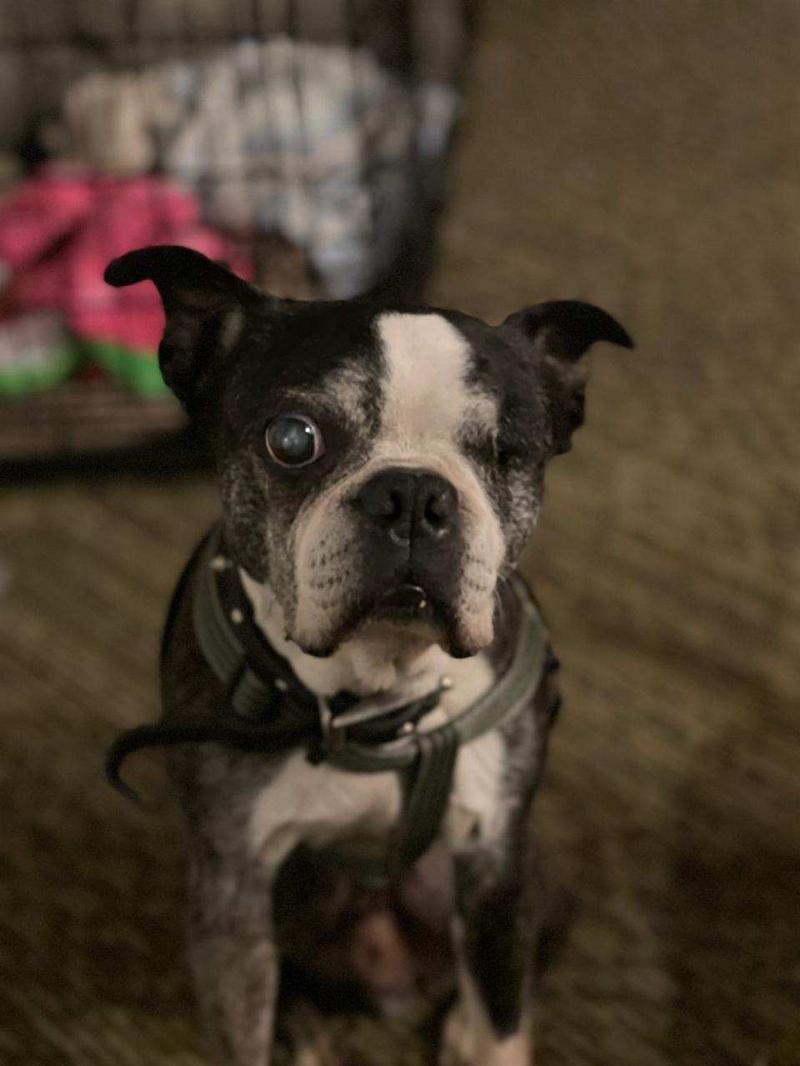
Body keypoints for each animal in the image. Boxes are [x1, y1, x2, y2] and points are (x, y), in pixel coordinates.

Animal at [104, 244, 632, 1066]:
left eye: (509, 453)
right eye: (293, 440)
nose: (413, 495)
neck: (378, 697)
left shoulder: (496, 862)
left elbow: (503, 1012)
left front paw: (484, 1035)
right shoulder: (231, 885)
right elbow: (238, 1027)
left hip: (539, 881)